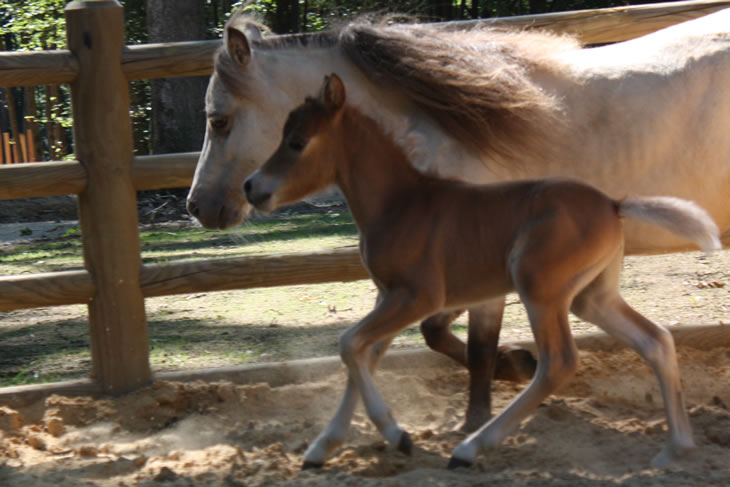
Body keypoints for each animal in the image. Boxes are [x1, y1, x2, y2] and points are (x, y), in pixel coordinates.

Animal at [188, 8, 728, 430]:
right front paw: (515, 366)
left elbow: (475, 345)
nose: (198, 206)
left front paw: (481, 414)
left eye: (219, 120)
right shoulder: (447, 272)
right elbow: (434, 334)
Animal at [243, 74, 716, 470]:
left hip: (539, 288)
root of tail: (613, 204)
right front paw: (324, 447)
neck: (399, 204)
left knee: (559, 362)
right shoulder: (388, 295)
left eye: (297, 142)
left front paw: (397, 435)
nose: (251, 187)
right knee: (655, 340)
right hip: (591, 296)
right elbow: (365, 353)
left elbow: (349, 344)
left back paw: (471, 448)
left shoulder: (418, 296)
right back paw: (676, 448)